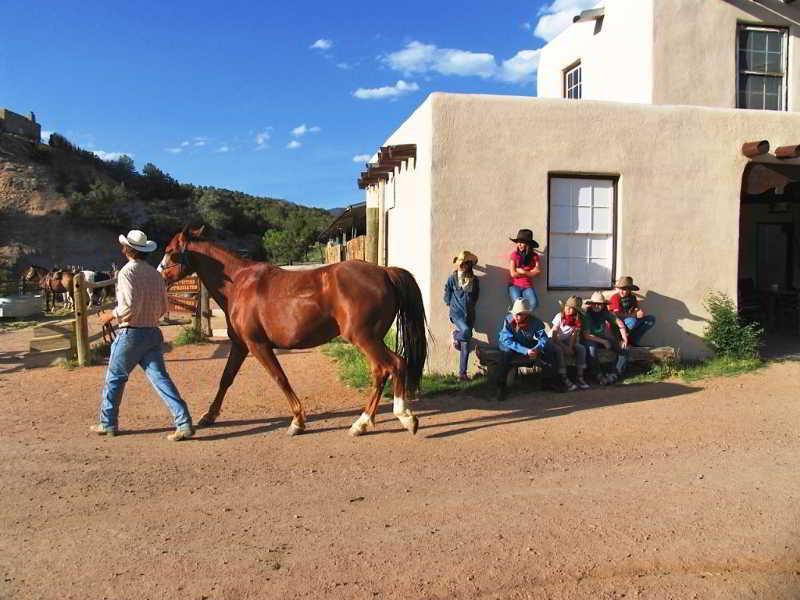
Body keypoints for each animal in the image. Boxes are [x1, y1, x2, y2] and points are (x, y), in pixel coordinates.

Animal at [159, 225, 428, 436]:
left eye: (171, 251)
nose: (160, 276)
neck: (239, 284)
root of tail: (384, 272)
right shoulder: (240, 345)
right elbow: (226, 379)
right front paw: (209, 416)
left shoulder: (258, 345)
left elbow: (280, 378)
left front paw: (297, 421)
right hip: (369, 340)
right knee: (381, 371)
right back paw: (362, 423)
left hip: (365, 338)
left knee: (394, 364)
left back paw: (401, 417)